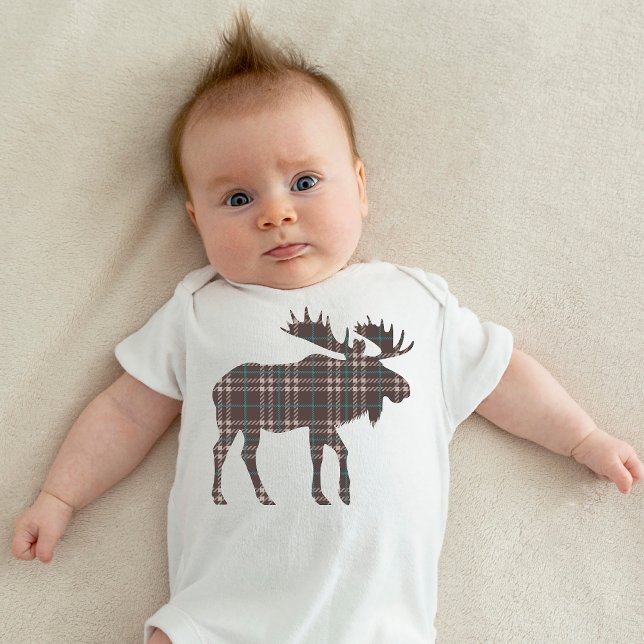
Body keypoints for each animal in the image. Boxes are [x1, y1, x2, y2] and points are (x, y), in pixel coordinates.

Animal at [211, 307, 414, 505]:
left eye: (380, 363)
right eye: (371, 368)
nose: (405, 388)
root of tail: (215, 389)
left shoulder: (325, 425)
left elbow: (341, 450)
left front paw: (343, 493)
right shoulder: (317, 424)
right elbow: (319, 457)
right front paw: (322, 495)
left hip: (245, 427)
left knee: (240, 453)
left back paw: (258, 497)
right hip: (233, 423)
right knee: (226, 451)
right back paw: (227, 496)